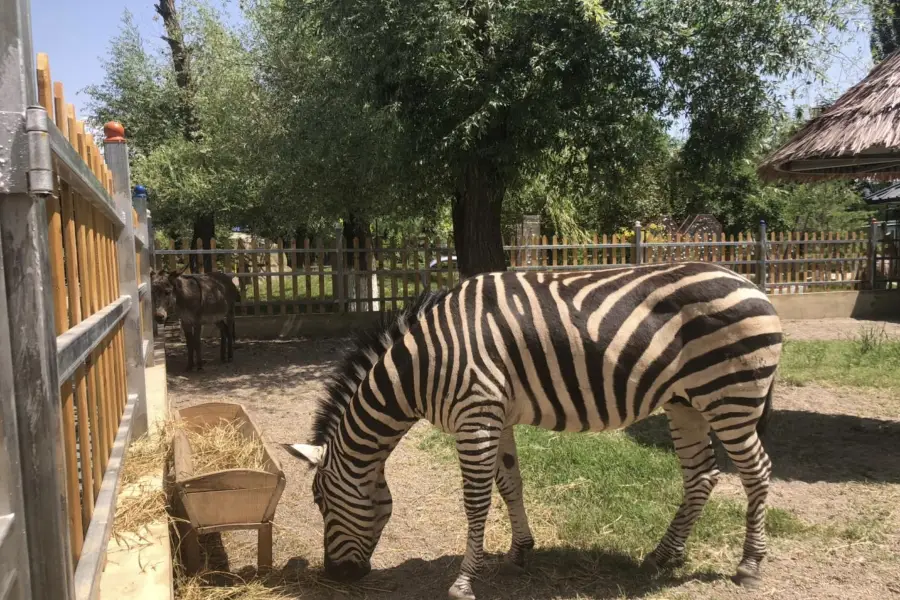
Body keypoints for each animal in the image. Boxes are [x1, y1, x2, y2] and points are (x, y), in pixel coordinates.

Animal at [286, 262, 780, 600]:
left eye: (319, 501)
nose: (334, 574)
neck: (422, 365)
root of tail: (751, 283)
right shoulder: (495, 415)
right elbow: (510, 485)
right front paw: (520, 553)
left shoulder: (476, 415)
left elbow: (476, 501)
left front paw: (464, 580)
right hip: (687, 403)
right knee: (702, 476)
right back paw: (662, 555)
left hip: (730, 397)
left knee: (757, 471)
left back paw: (750, 564)